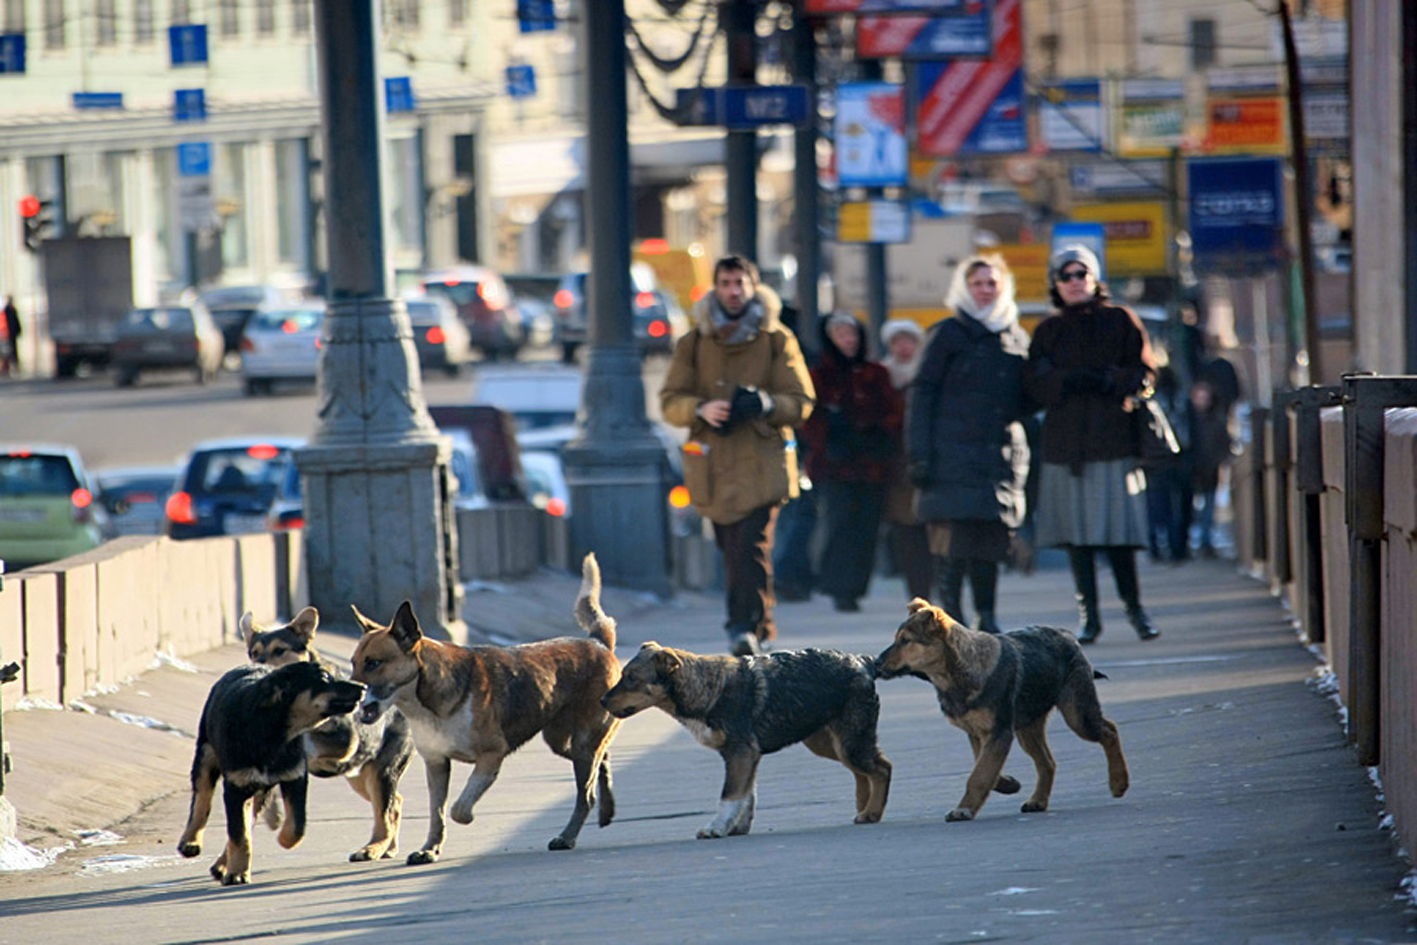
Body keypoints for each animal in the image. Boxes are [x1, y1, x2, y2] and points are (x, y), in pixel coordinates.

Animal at [175, 657, 365, 889]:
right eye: (324, 678)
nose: (363, 688)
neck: (274, 733)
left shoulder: (294, 778)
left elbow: (296, 825)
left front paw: (284, 840)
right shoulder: (236, 787)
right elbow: (239, 835)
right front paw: (237, 874)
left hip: (260, 790)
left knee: (247, 821)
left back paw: (221, 865)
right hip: (206, 754)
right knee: (202, 799)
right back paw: (190, 842)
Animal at [240, 606, 410, 867]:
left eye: (280, 651)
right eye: (254, 653)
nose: (259, 667)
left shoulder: (347, 740)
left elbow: (307, 743)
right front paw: (273, 813)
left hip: (380, 771)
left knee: (385, 812)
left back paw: (371, 849)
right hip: (360, 776)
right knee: (395, 803)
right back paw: (387, 847)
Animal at [348, 555, 620, 867]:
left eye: (374, 663)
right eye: (353, 662)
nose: (349, 695)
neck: (425, 699)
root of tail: (598, 642)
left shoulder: (491, 756)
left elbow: (458, 809)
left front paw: (464, 819)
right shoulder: (436, 763)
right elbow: (437, 813)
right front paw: (430, 849)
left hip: (582, 743)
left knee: (585, 795)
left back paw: (567, 837)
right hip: (563, 741)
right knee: (603, 758)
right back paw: (606, 809)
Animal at [603, 643, 889, 833]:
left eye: (631, 678)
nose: (602, 700)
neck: (707, 688)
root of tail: (863, 662)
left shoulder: (740, 752)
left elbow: (730, 794)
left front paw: (717, 827)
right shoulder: (745, 756)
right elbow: (746, 794)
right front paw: (737, 827)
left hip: (849, 740)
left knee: (882, 768)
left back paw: (872, 811)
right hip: (828, 743)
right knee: (863, 771)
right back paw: (864, 808)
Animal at [872, 603, 1127, 821]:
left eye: (905, 640)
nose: (875, 663)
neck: (957, 671)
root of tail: (1068, 636)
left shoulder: (999, 733)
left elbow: (979, 775)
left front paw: (963, 810)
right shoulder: (978, 733)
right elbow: (984, 768)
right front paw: (1007, 783)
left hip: (1077, 715)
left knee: (1109, 731)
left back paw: (1119, 782)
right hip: (1028, 729)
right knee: (1047, 762)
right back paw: (1038, 801)